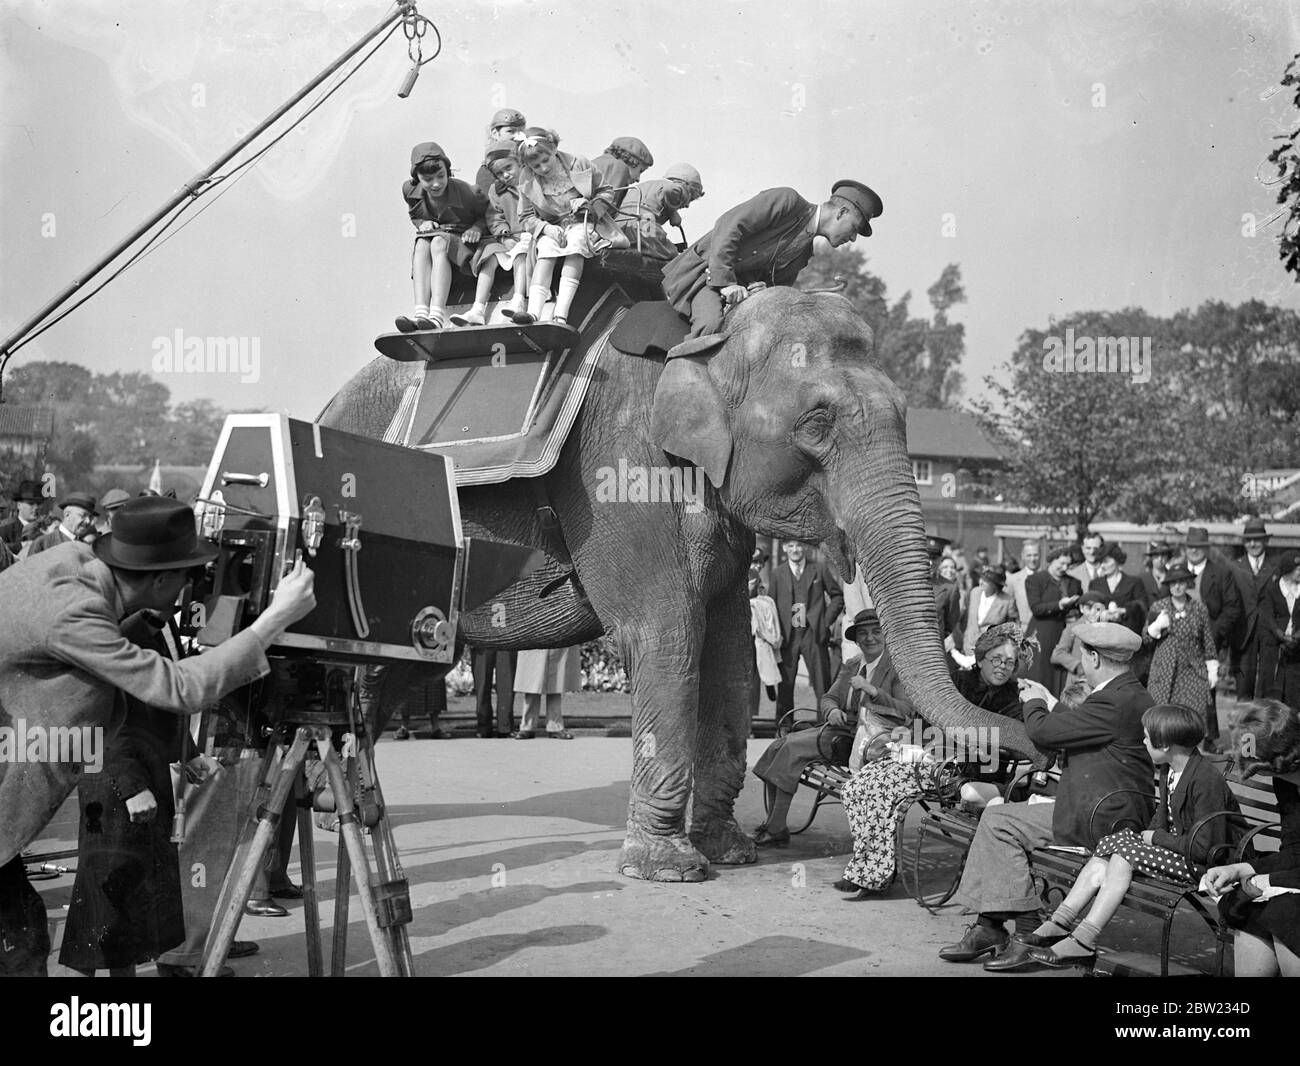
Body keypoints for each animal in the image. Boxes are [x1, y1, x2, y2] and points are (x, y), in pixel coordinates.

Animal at [319, 276, 1040, 883]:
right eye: (816, 423)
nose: (1029, 749)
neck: (706, 341)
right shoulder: (615, 467)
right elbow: (669, 632)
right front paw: (668, 869)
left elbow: (729, 652)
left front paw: (732, 853)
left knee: (393, 670)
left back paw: (345, 809)